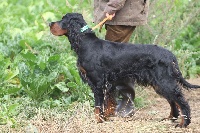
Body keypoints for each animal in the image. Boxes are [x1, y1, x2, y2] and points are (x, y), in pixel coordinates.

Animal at [49, 13, 200, 127]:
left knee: (181, 101)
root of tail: (170, 55)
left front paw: (98, 120)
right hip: (159, 83)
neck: (85, 43)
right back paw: (171, 118)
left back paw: (183, 123)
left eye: (63, 19)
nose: (50, 23)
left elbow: (98, 106)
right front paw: (106, 118)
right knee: (173, 100)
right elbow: (106, 103)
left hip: (164, 81)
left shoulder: (98, 83)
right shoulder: (106, 84)